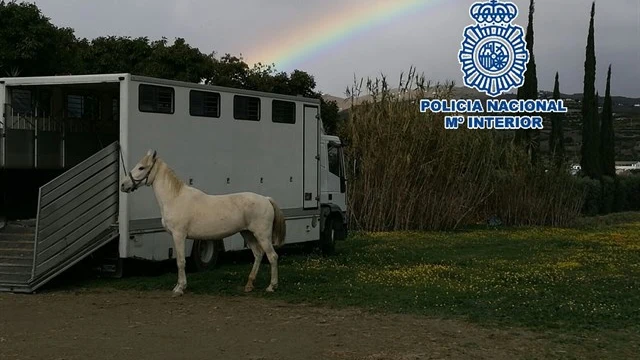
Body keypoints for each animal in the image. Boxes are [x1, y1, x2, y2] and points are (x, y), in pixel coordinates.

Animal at [121, 148, 286, 296]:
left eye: (141, 167)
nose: (123, 185)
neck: (175, 198)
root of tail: (266, 199)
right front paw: (178, 286)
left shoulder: (179, 235)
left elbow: (180, 261)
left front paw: (179, 289)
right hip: (247, 233)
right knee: (258, 254)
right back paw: (249, 285)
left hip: (262, 235)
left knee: (272, 256)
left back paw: (272, 287)